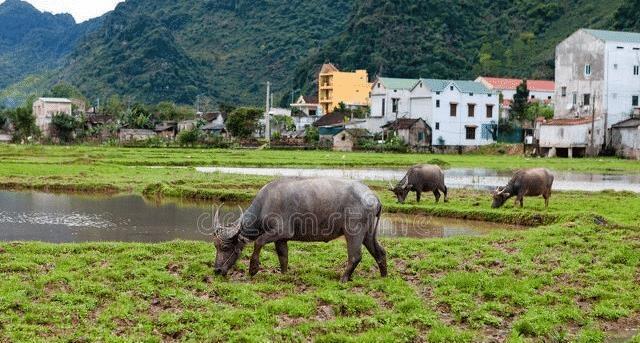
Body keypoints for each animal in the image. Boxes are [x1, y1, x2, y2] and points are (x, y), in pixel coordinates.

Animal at [212, 176, 388, 284]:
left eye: (226, 247)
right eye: (216, 246)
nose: (217, 270)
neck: (265, 204)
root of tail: (374, 197)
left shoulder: (281, 231)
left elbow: (259, 242)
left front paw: (253, 269)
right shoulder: (281, 239)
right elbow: (283, 256)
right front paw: (284, 275)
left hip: (353, 231)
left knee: (355, 256)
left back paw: (343, 279)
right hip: (368, 233)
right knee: (380, 252)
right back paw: (384, 276)